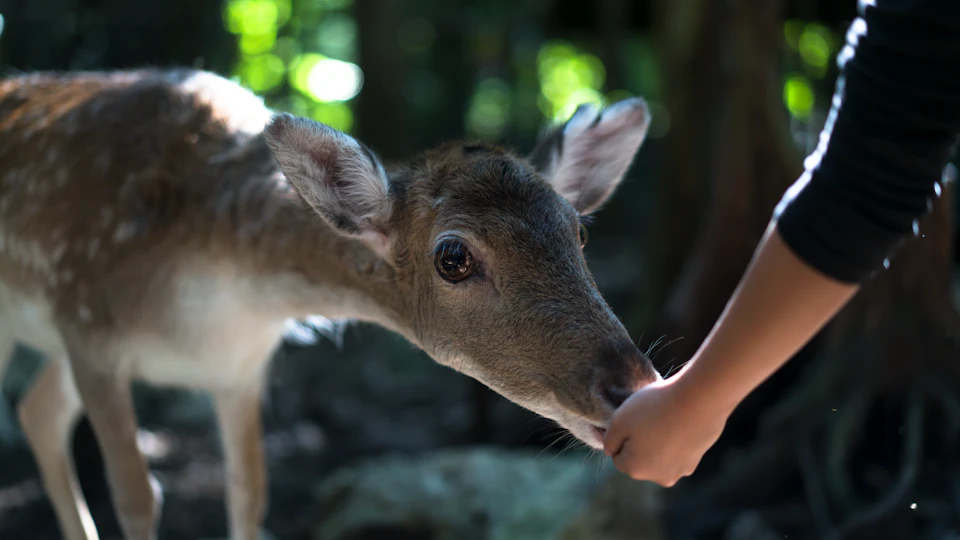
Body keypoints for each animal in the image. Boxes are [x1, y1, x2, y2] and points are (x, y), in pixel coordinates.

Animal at [0, 67, 659, 540]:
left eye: (580, 231)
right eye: (453, 257)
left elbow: (250, 495)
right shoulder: (90, 328)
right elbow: (138, 496)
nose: (633, 383)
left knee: (37, 410)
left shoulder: (239, 368)